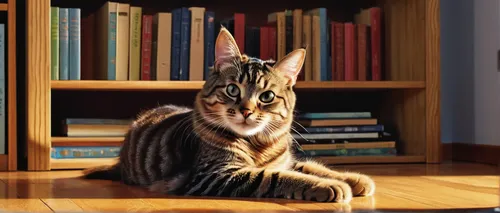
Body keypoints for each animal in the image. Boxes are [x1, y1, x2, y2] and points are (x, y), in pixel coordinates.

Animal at [82, 26, 374, 203]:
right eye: (233, 89)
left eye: (267, 96)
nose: (246, 111)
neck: (259, 145)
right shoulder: (218, 175)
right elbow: (278, 177)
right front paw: (329, 187)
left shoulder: (283, 160)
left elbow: (312, 167)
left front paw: (355, 179)